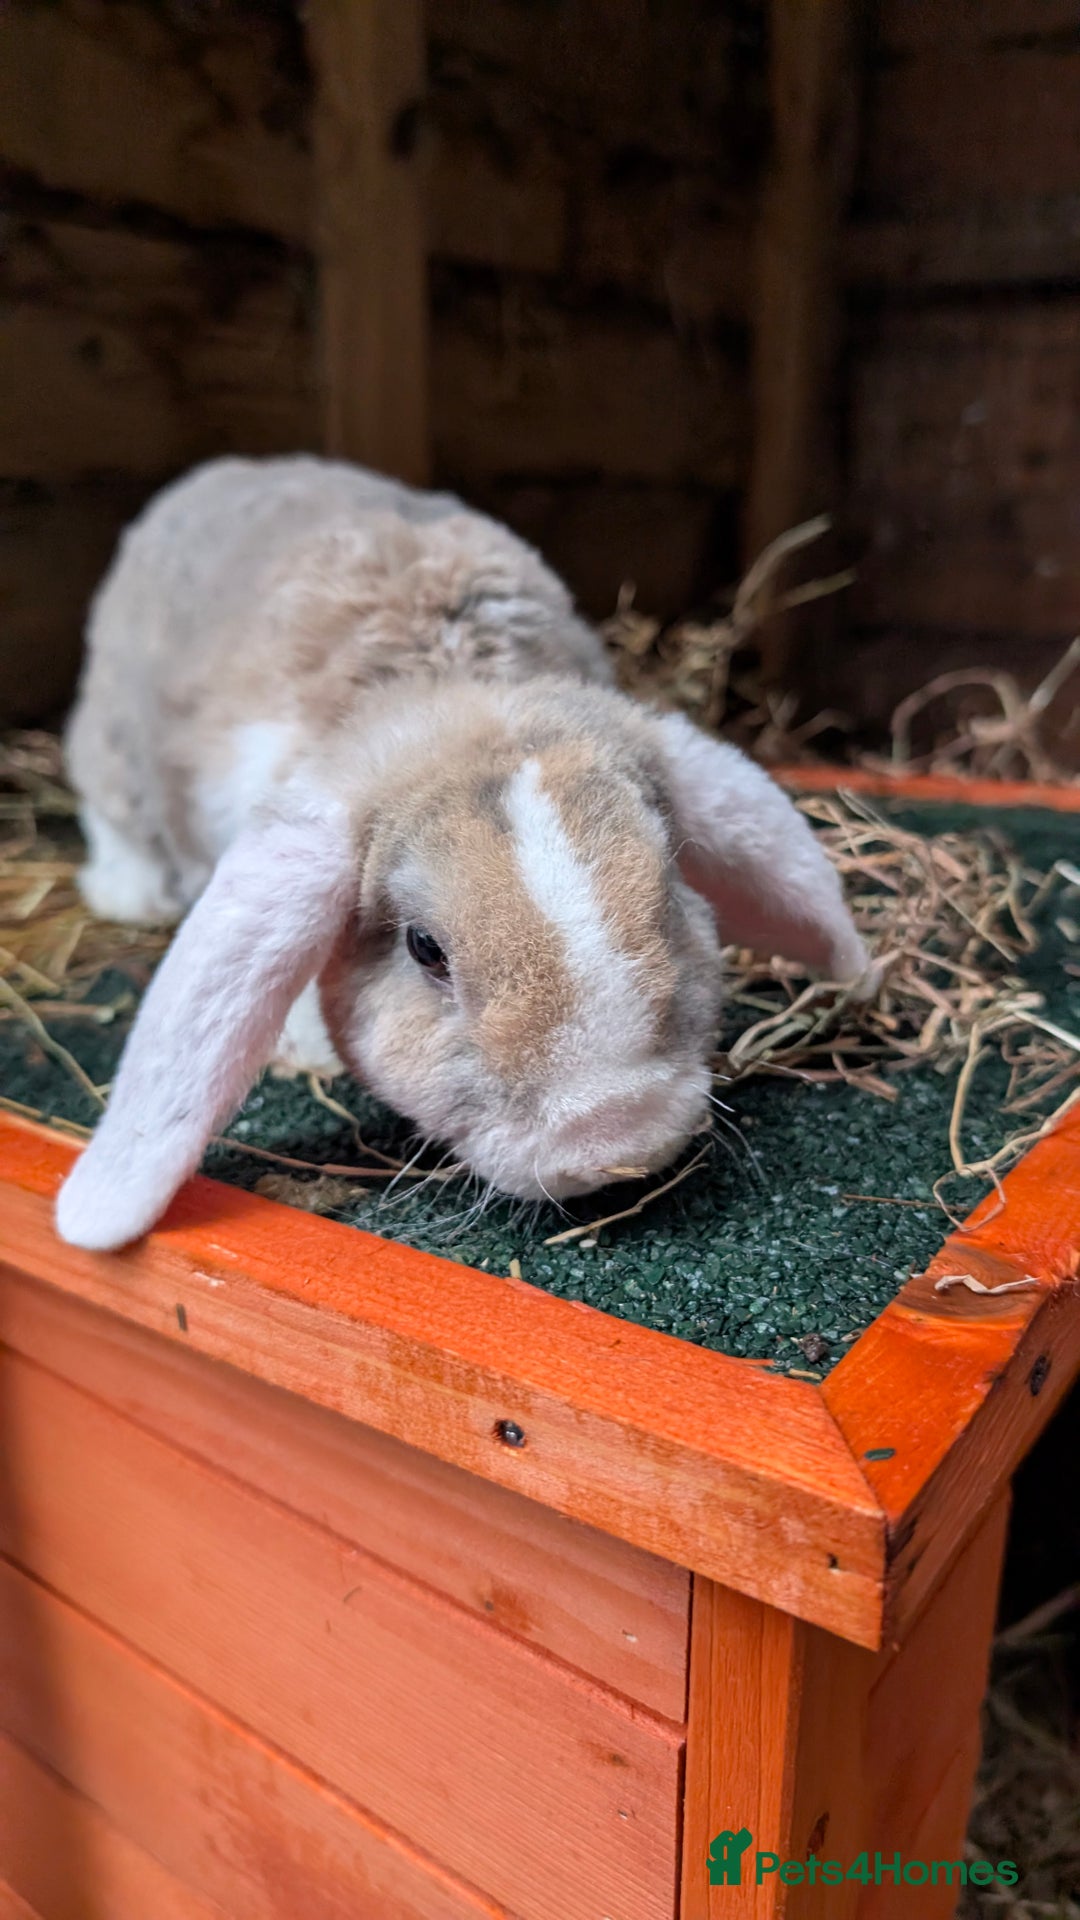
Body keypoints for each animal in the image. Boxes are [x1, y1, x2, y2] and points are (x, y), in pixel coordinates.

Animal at [55, 454, 870, 1252]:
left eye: (667, 894)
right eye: (426, 949)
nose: (614, 1134)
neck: (458, 697)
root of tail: (217, 473)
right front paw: (307, 1051)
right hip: (114, 749)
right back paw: (138, 892)